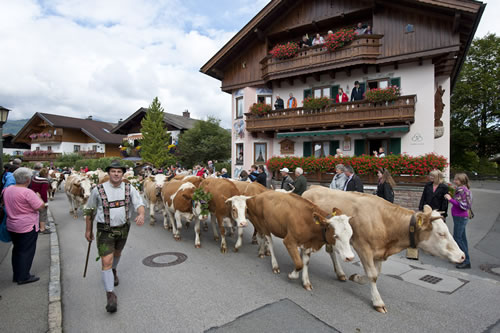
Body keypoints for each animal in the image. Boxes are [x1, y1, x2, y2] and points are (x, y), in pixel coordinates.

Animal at [302, 185, 466, 312]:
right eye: (441, 233)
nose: (462, 256)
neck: (384, 221)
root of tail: (313, 187)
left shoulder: (379, 251)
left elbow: (376, 273)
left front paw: (357, 278)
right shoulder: (363, 247)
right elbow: (373, 275)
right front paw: (377, 302)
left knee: (331, 251)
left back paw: (340, 273)